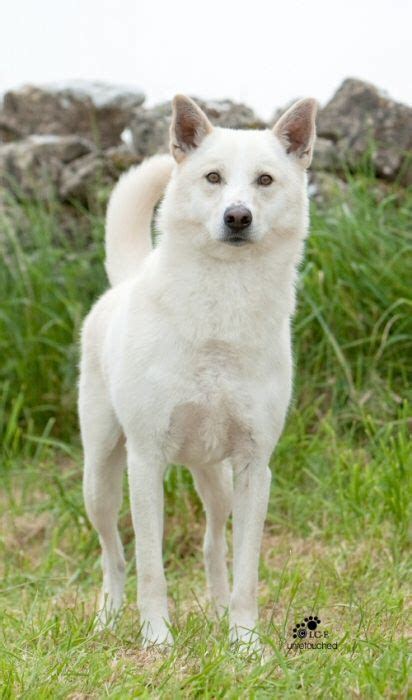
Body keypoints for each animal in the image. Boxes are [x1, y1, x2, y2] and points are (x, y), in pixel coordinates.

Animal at [78, 94, 318, 652]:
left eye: (265, 180)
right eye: (213, 177)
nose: (237, 216)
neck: (222, 311)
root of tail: (125, 282)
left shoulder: (254, 467)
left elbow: (247, 571)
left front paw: (246, 645)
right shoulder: (146, 462)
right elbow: (150, 568)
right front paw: (157, 641)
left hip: (219, 481)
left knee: (213, 548)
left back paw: (217, 614)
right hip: (99, 478)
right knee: (113, 555)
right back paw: (106, 619)